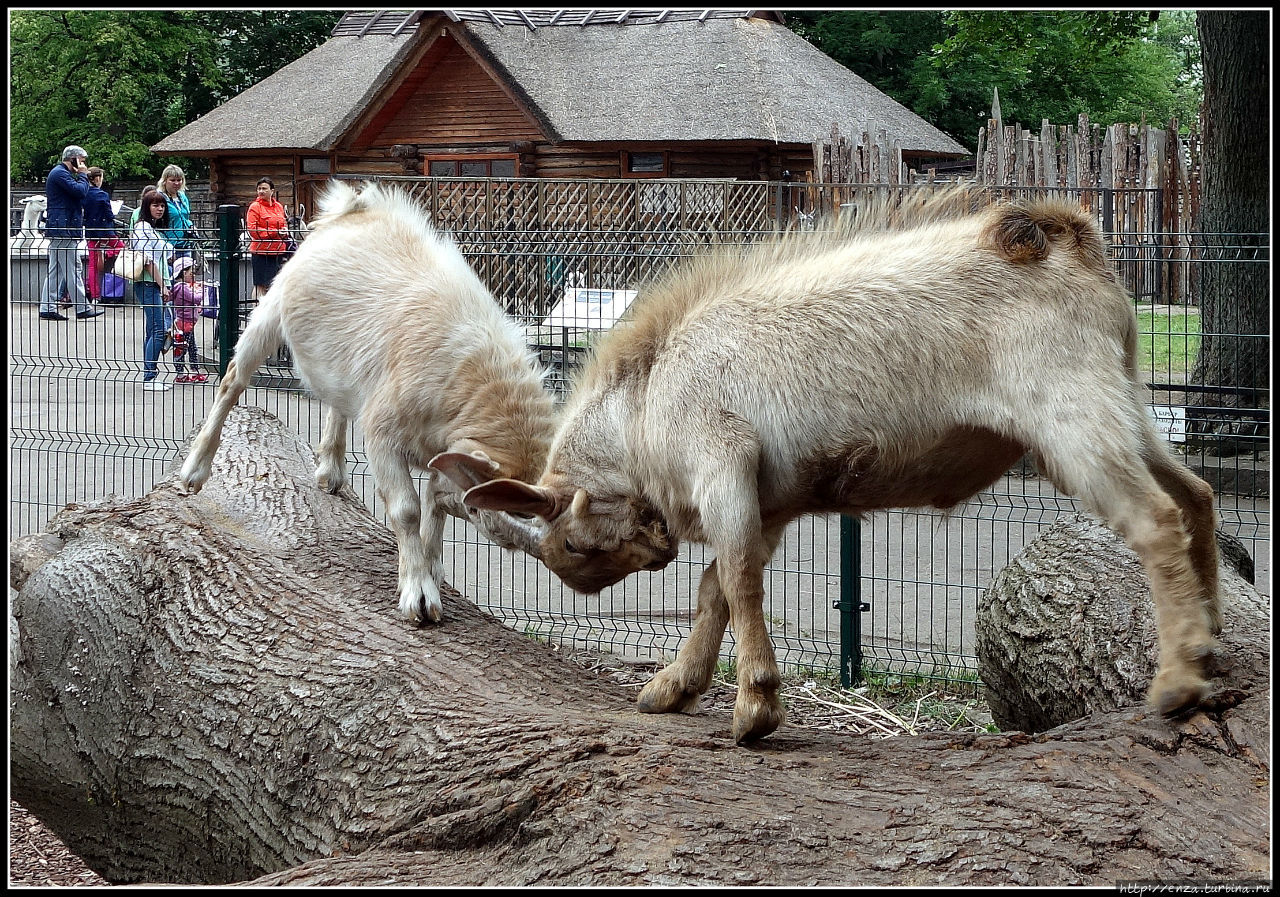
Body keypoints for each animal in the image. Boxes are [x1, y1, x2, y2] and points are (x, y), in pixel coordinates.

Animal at [181, 179, 555, 627]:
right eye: (487, 507)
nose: (516, 543)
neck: (472, 371)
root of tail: (352, 209)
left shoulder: (438, 448)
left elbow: (435, 508)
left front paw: (430, 570)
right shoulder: (383, 434)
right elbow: (408, 509)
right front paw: (418, 595)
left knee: (336, 399)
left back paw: (330, 467)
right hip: (269, 310)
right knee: (232, 382)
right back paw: (195, 469)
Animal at [445, 186, 1223, 742]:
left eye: (573, 546)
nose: (652, 555)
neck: (645, 397)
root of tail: (1065, 233)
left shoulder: (723, 460)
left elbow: (737, 580)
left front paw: (754, 707)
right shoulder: (772, 498)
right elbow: (715, 588)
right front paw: (673, 686)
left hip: (1071, 417)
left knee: (1156, 518)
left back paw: (1178, 678)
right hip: (1123, 403)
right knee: (1197, 495)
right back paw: (1210, 641)